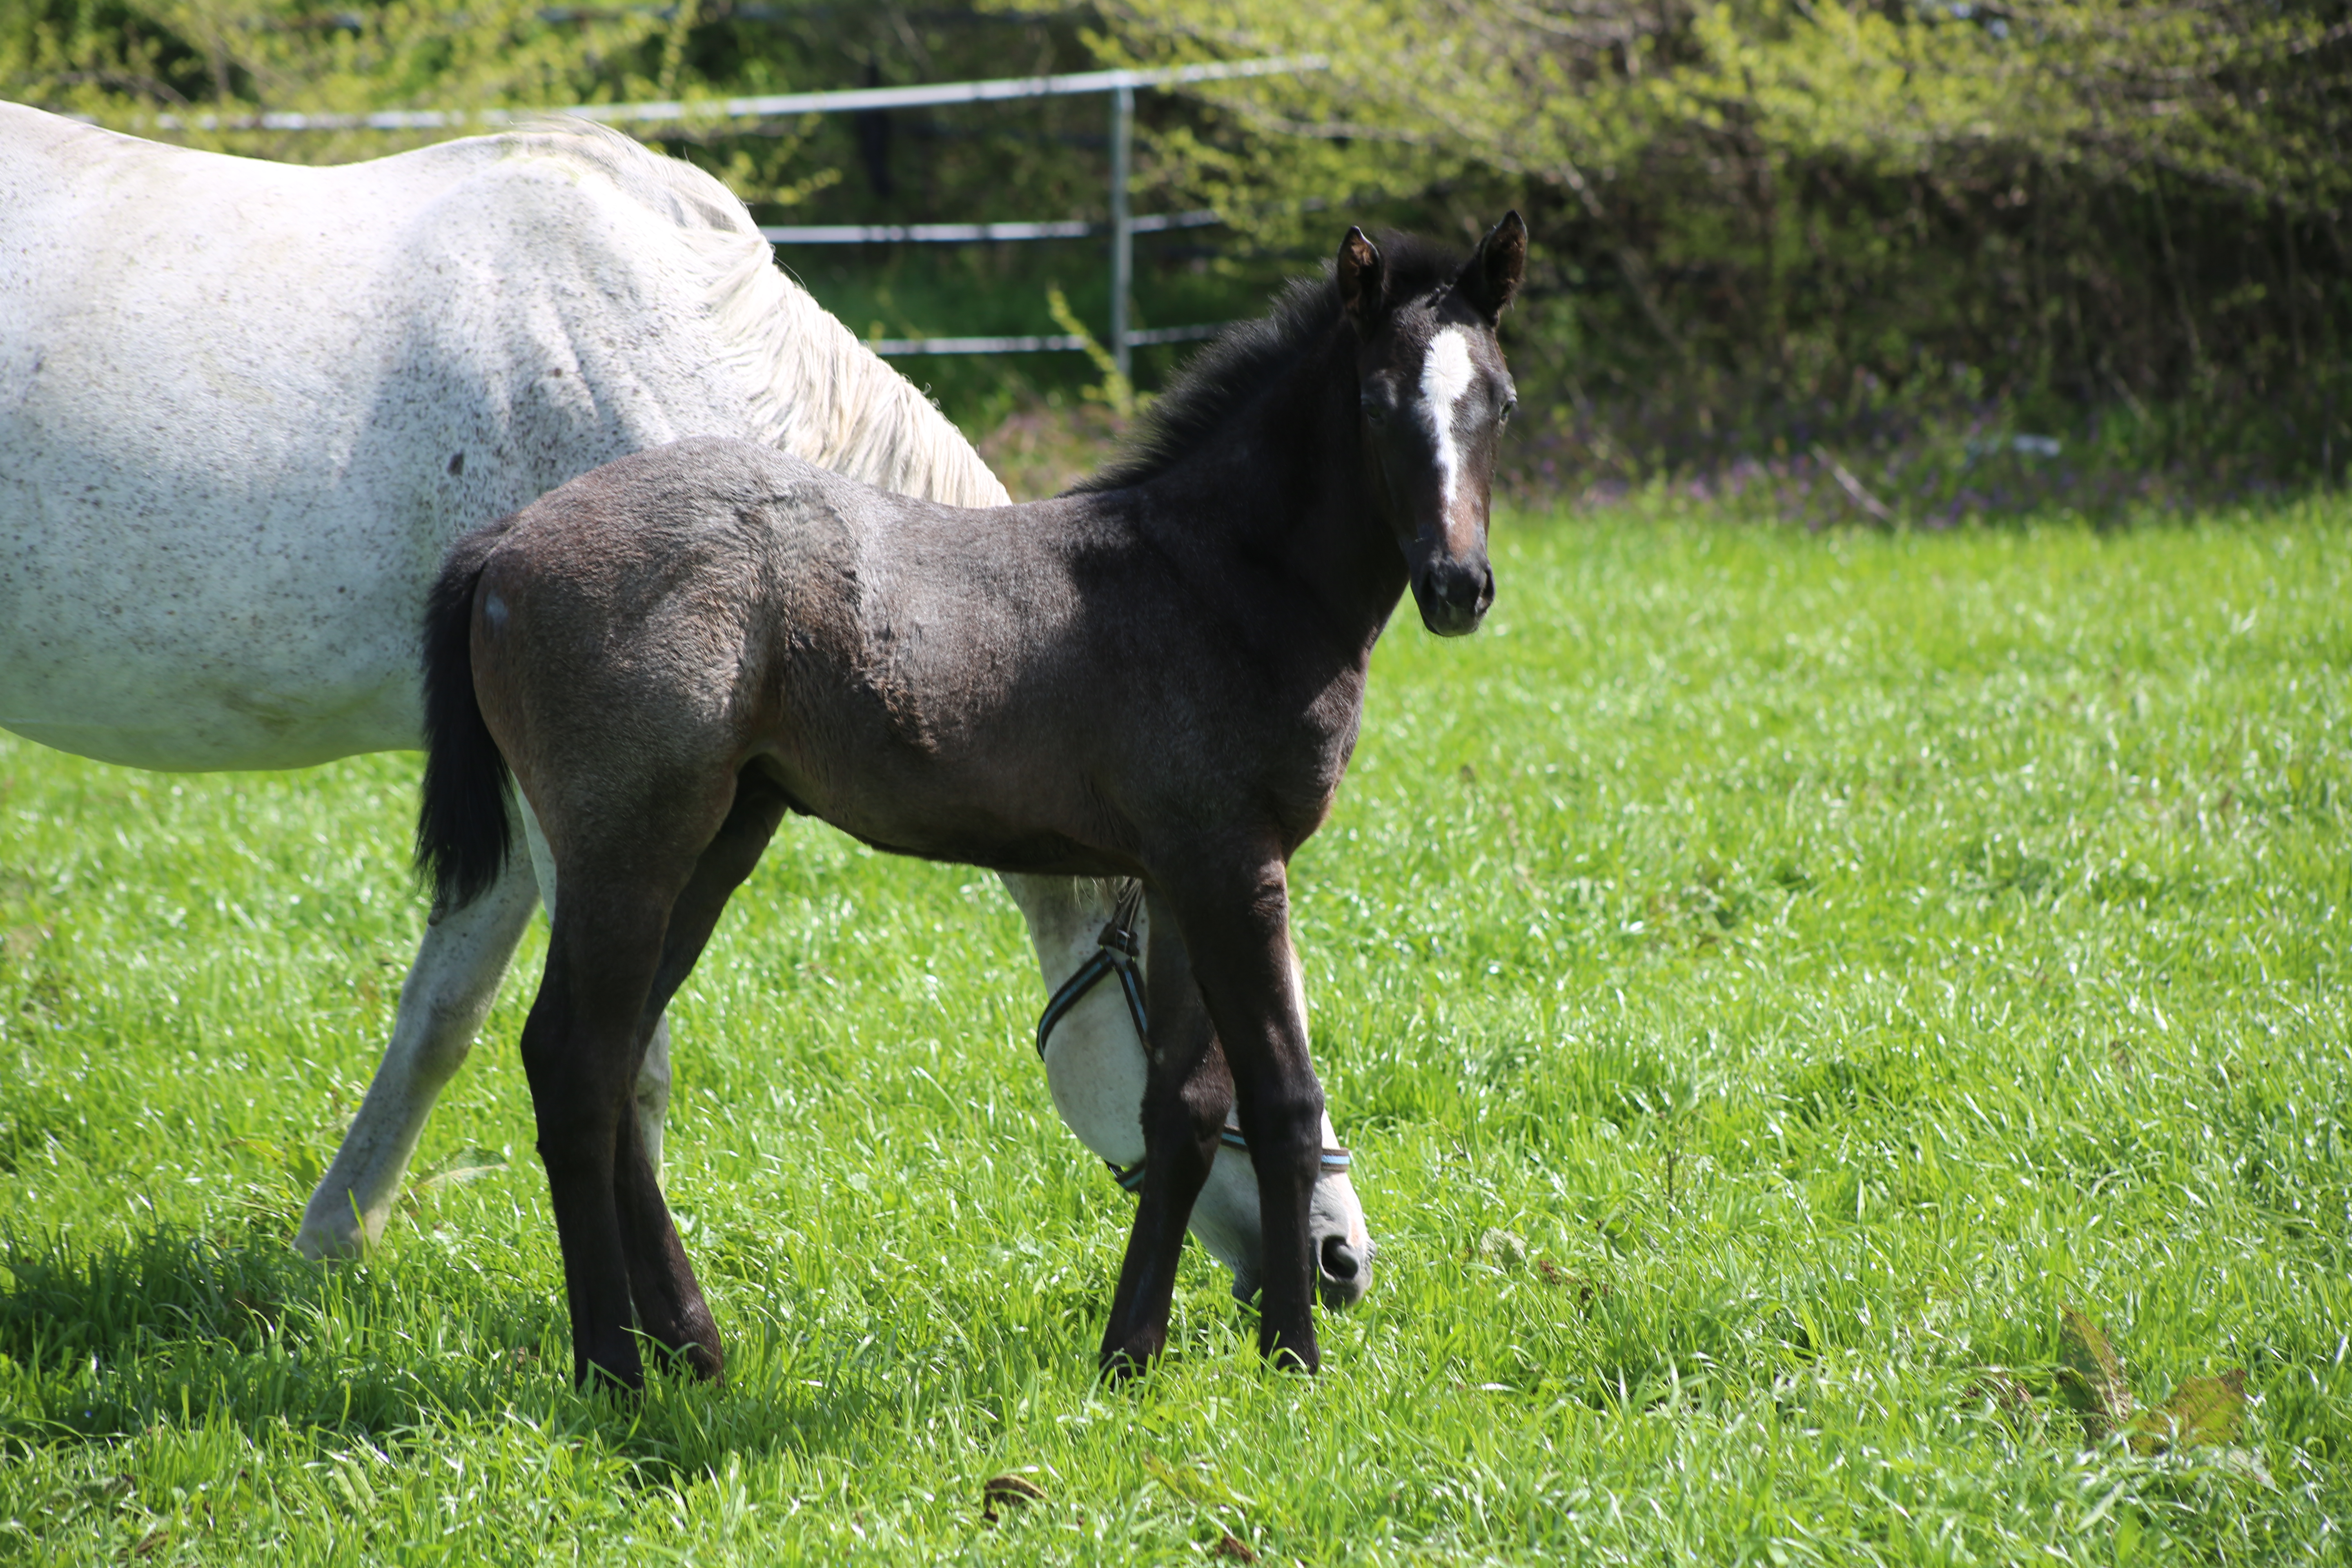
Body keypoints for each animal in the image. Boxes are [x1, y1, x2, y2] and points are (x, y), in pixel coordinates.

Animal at [0, 104, 1373, 1316]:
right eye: (1204, 1010)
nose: (1340, 1260)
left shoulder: (533, 821)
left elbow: (446, 1019)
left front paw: (334, 1244)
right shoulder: (598, 822)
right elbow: (623, 1059)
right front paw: (657, 1322)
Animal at [419, 215, 1524, 1392]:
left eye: (1499, 401)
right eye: (1376, 401)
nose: (1458, 587)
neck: (1218, 578)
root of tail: (505, 544)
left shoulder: (1184, 879)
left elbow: (1184, 1108)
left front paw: (1130, 1356)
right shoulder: (1238, 868)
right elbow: (1278, 1097)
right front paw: (1294, 1356)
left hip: (716, 843)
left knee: (615, 1055)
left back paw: (691, 1344)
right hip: (627, 853)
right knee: (575, 1062)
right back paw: (611, 1369)